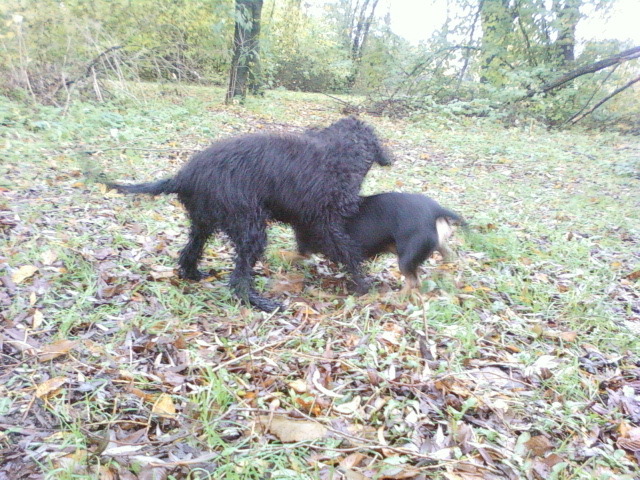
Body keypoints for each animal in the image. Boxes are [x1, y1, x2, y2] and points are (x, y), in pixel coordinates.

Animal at [106, 117, 391, 312]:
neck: (342, 150)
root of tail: (183, 177)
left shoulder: (306, 220)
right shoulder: (325, 222)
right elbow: (347, 250)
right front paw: (364, 283)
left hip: (203, 223)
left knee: (190, 252)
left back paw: (193, 274)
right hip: (249, 226)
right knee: (239, 278)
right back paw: (259, 302)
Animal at [296, 192, 465, 293]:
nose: (300, 248)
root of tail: (436, 210)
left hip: (405, 259)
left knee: (413, 282)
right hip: (436, 246)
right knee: (449, 257)